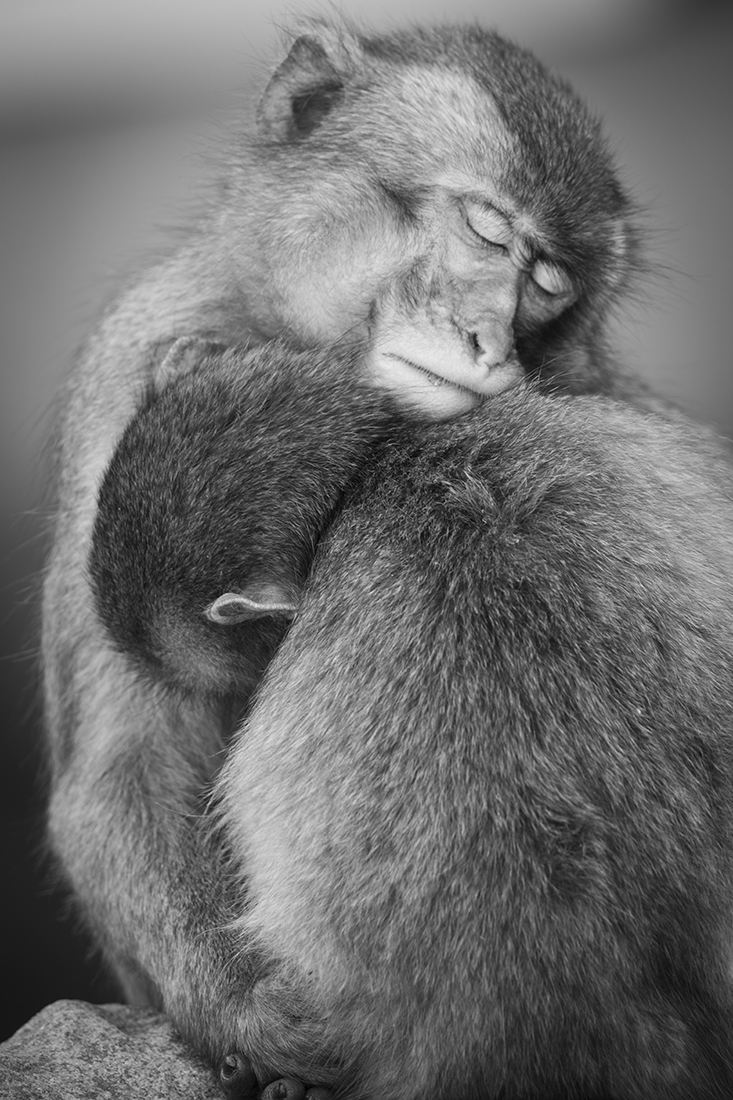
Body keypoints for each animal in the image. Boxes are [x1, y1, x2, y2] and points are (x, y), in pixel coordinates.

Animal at [42, 15, 665, 1095]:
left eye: (547, 286)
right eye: (486, 230)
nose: (489, 339)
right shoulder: (127, 375)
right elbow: (117, 771)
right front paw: (255, 1016)